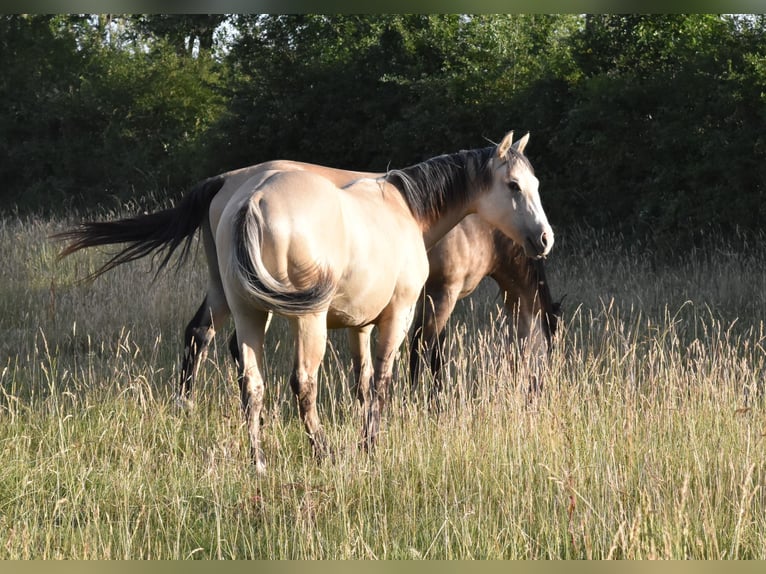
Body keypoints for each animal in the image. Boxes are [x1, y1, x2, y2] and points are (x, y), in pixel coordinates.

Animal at [409, 213, 561, 400]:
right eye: (548, 350)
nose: (539, 393)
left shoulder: (432, 298)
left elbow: (437, 352)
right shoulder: (442, 295)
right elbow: (421, 350)